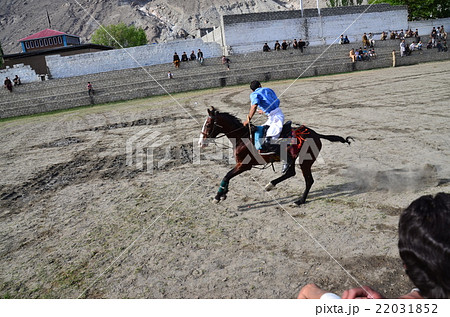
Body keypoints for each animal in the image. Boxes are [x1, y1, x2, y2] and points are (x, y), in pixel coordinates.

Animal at [199, 107, 354, 205]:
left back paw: (300, 201)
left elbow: (227, 175)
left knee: (309, 180)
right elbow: (227, 176)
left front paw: (218, 196)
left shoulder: (244, 165)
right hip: (293, 159)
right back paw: (271, 184)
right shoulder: (241, 165)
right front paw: (224, 193)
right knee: (291, 173)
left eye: (208, 125)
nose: (200, 142)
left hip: (305, 161)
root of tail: (316, 134)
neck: (242, 137)